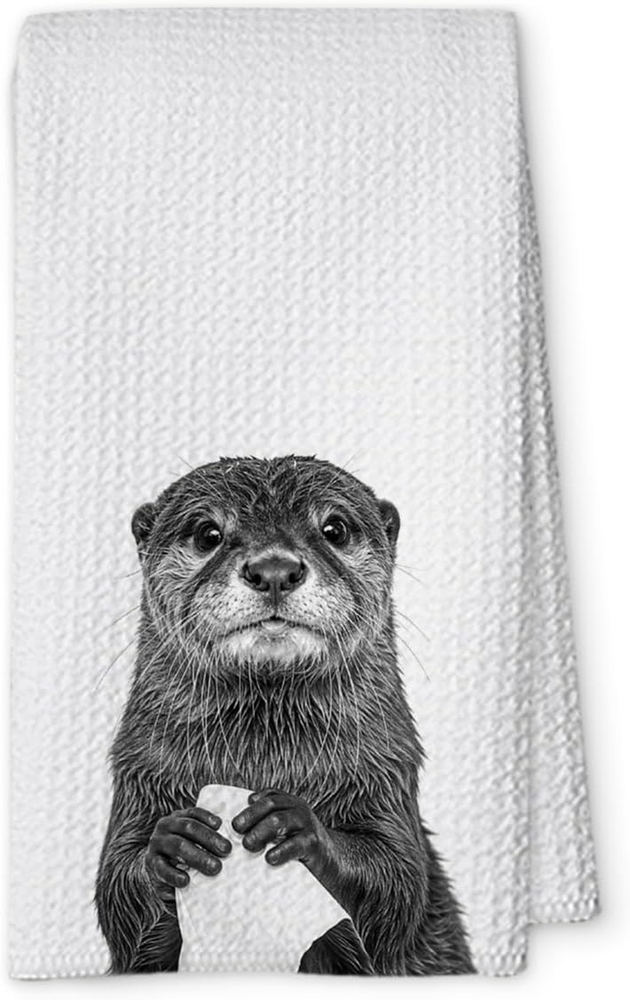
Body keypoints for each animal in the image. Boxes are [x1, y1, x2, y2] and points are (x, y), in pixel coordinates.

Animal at [95, 455, 474, 975]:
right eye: (207, 533)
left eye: (334, 528)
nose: (274, 567)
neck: (266, 759)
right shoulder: (139, 770)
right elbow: (116, 896)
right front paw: (172, 841)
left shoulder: (388, 770)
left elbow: (398, 885)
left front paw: (296, 824)